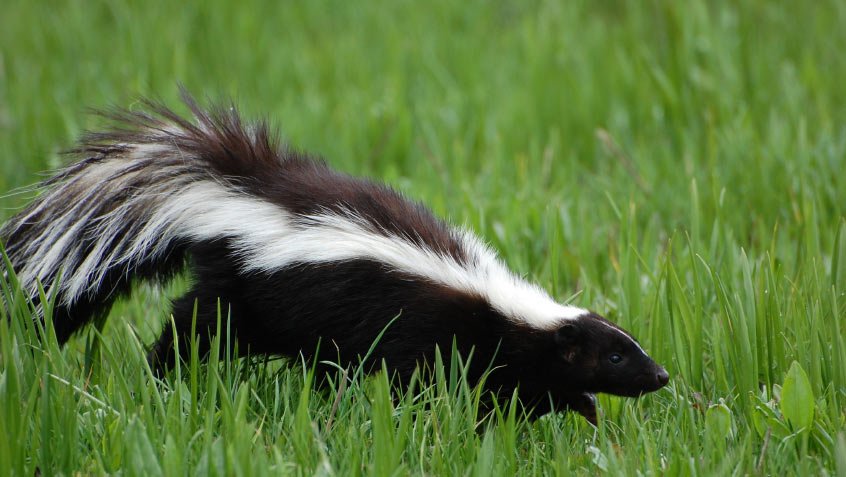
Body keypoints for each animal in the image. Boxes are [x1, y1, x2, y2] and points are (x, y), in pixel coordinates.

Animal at [3, 93, 672, 420]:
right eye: (617, 355)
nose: (662, 376)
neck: (504, 306)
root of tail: (237, 190)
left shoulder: (508, 354)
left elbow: (521, 389)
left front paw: (582, 411)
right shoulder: (434, 333)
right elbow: (435, 385)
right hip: (247, 289)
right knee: (196, 326)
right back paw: (162, 374)